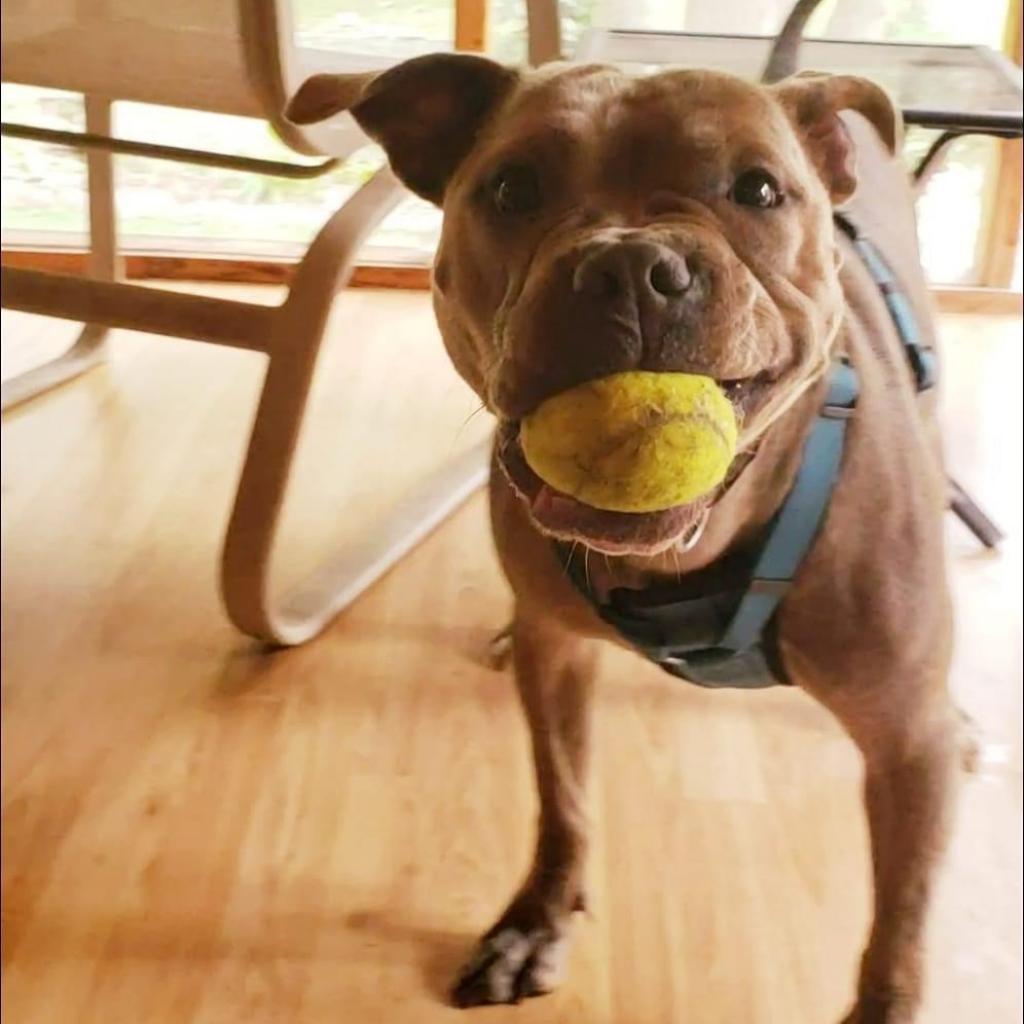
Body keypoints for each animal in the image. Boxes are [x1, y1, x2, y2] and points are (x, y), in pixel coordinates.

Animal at [286, 12, 958, 1019]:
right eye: (512, 187)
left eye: (759, 189)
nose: (632, 265)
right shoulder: (558, 661)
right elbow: (562, 798)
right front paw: (538, 919)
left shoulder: (909, 743)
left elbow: (903, 927)